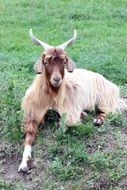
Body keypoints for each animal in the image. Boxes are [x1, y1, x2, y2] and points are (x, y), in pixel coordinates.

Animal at [18, 28, 126, 172]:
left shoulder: (70, 111)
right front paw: (24, 163)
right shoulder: (32, 114)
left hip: (103, 98)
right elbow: (29, 136)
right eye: (46, 62)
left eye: (64, 62)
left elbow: (65, 124)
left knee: (107, 111)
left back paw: (97, 120)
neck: (52, 97)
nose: (56, 80)